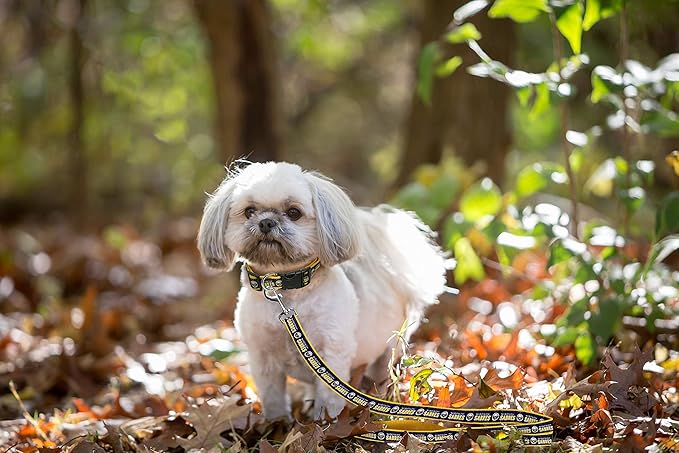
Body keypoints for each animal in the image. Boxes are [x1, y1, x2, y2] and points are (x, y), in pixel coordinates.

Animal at [197, 162, 446, 420]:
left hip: (389, 347)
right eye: (249, 211)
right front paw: (277, 423)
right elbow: (273, 398)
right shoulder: (263, 358)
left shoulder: (331, 354)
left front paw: (324, 423)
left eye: (293, 212)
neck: (285, 291)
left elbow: (328, 398)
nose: (266, 222)